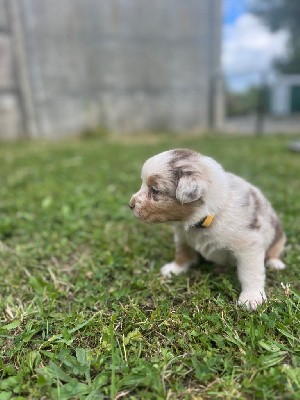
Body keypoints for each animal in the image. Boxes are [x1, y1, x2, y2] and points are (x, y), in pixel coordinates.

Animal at [129, 148, 286, 310]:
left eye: (154, 190)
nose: (130, 204)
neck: (207, 217)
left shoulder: (249, 246)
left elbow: (249, 273)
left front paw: (251, 298)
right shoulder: (182, 236)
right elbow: (182, 252)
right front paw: (175, 269)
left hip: (278, 233)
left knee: (275, 250)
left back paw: (275, 263)